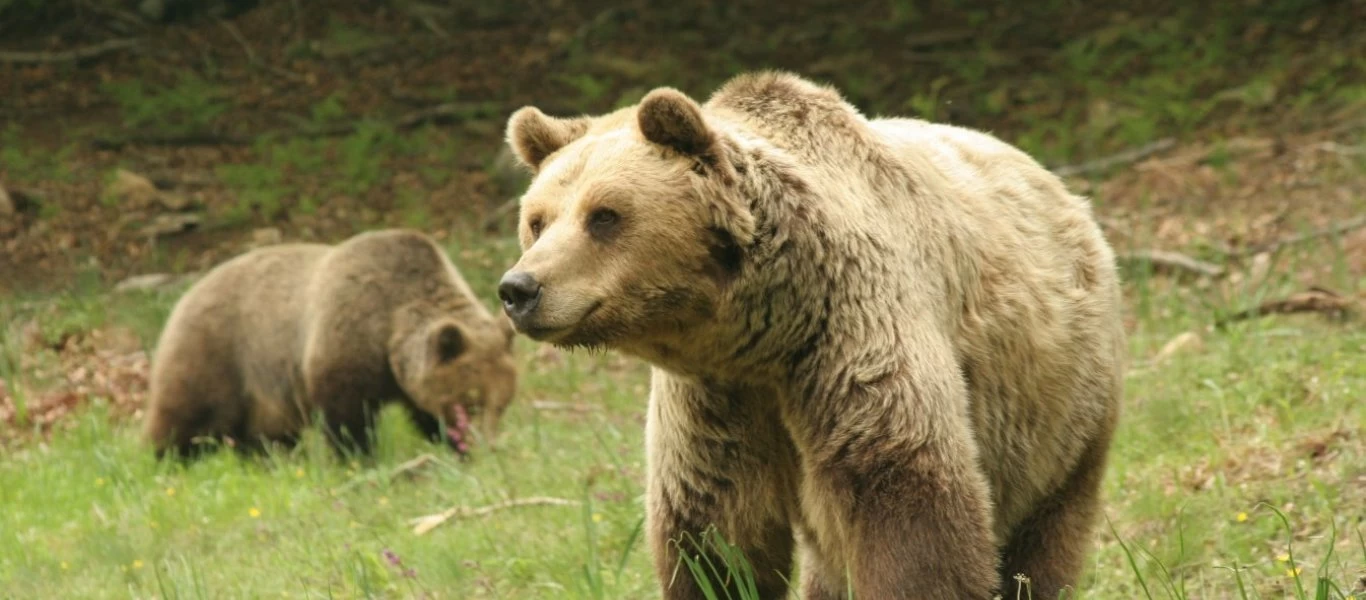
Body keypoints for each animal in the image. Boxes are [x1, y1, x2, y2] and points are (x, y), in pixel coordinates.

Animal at [142, 229, 516, 459]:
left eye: (502, 404)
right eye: (471, 401)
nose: (486, 445)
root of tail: (187, 293)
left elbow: (424, 413)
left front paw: (456, 448)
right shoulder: (345, 339)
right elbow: (346, 416)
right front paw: (359, 457)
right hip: (217, 351)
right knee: (187, 413)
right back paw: (166, 458)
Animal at [497, 72, 1125, 598]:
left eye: (605, 215)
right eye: (537, 220)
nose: (519, 288)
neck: (764, 334)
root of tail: (1062, 189)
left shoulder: (849, 340)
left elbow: (907, 504)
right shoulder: (716, 403)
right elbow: (716, 534)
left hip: (1060, 406)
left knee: (1044, 530)